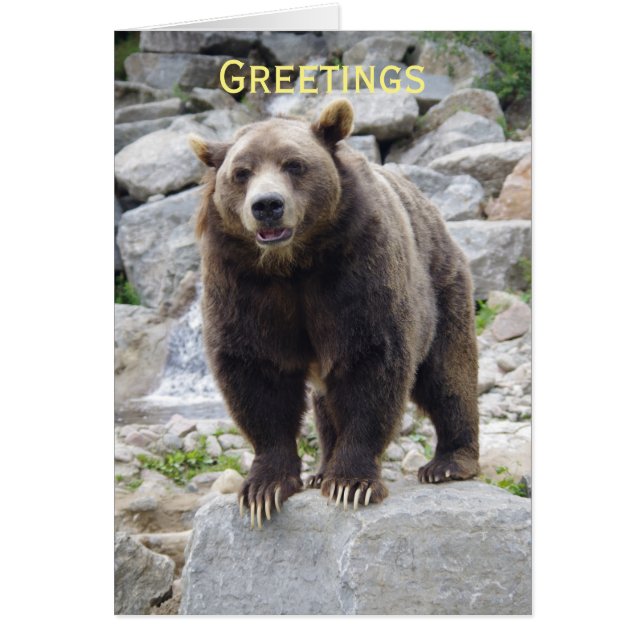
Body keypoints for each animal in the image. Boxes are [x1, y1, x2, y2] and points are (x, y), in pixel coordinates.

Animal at [189, 99, 480, 529]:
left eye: (294, 164)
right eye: (241, 173)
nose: (267, 206)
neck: (292, 264)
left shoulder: (355, 266)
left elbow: (370, 361)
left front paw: (351, 482)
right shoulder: (241, 282)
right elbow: (256, 371)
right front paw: (264, 489)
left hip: (442, 286)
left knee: (448, 374)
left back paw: (449, 463)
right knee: (326, 402)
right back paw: (321, 468)